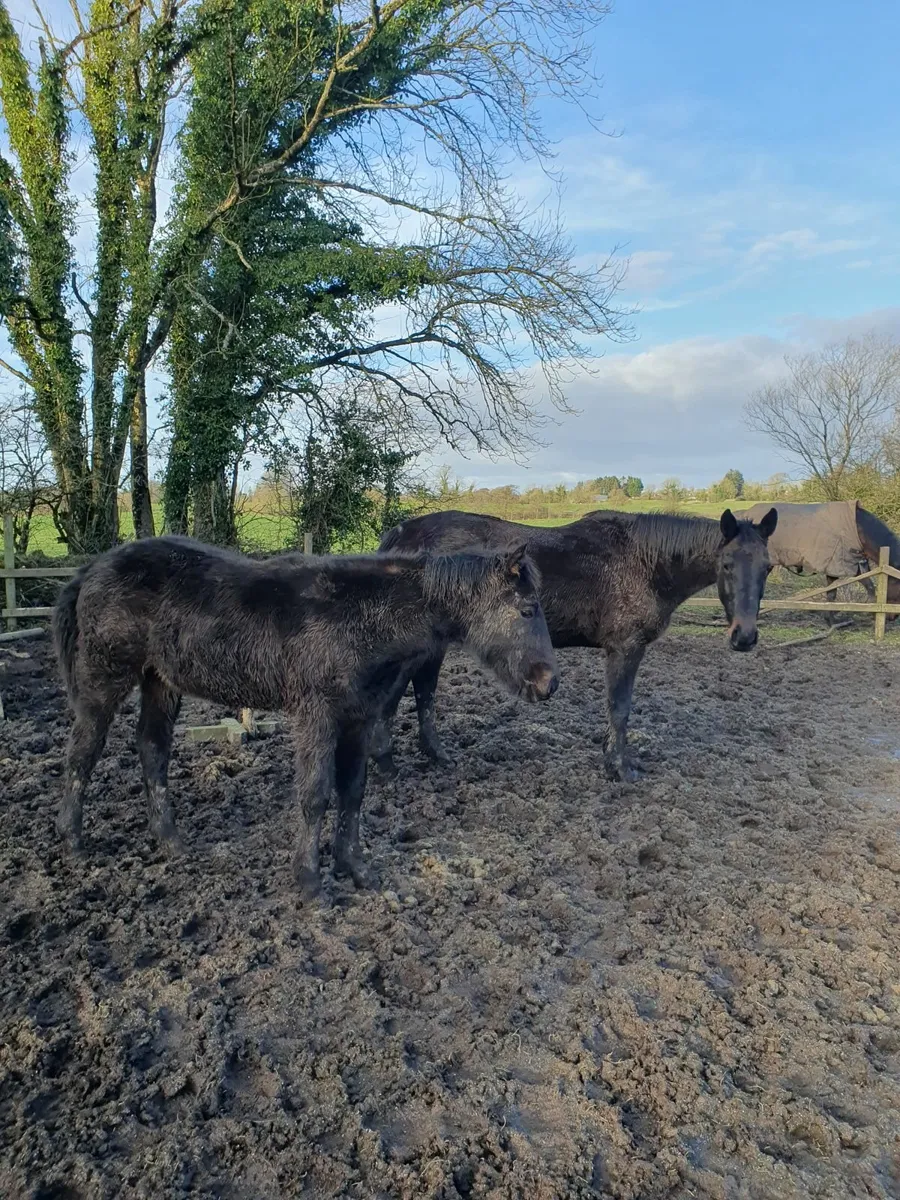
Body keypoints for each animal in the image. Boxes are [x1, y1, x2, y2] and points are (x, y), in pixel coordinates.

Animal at [52, 536, 558, 900]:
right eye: (527, 609)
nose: (549, 682)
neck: (364, 618)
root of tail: (89, 571)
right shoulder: (317, 715)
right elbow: (315, 795)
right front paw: (311, 882)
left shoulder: (358, 717)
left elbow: (353, 792)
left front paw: (356, 869)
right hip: (105, 678)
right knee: (82, 754)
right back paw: (73, 842)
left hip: (160, 680)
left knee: (152, 748)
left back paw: (170, 840)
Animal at [371, 506, 777, 782]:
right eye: (726, 564)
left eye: (768, 567)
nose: (744, 637)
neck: (645, 563)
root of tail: (403, 534)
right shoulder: (626, 647)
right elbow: (620, 707)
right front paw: (620, 767)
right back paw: (387, 764)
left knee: (424, 691)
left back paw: (436, 756)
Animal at [741, 500, 900, 624]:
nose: (892, 617)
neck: (857, 530)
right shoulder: (840, 566)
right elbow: (843, 592)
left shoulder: (848, 566)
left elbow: (838, 592)